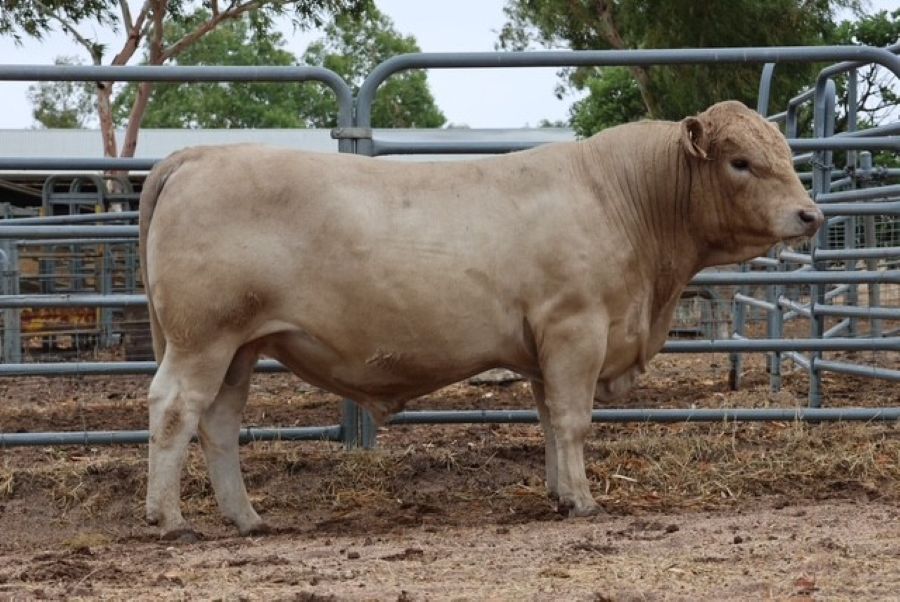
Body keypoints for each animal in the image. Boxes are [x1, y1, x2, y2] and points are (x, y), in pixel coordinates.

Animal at [139, 100, 823, 540]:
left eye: (786, 154)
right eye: (740, 162)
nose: (810, 215)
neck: (621, 200)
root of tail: (198, 155)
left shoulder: (545, 347)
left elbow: (548, 423)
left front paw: (558, 493)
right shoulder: (576, 329)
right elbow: (574, 421)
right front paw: (584, 501)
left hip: (241, 347)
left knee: (219, 422)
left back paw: (247, 518)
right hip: (203, 337)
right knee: (174, 409)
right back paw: (170, 520)